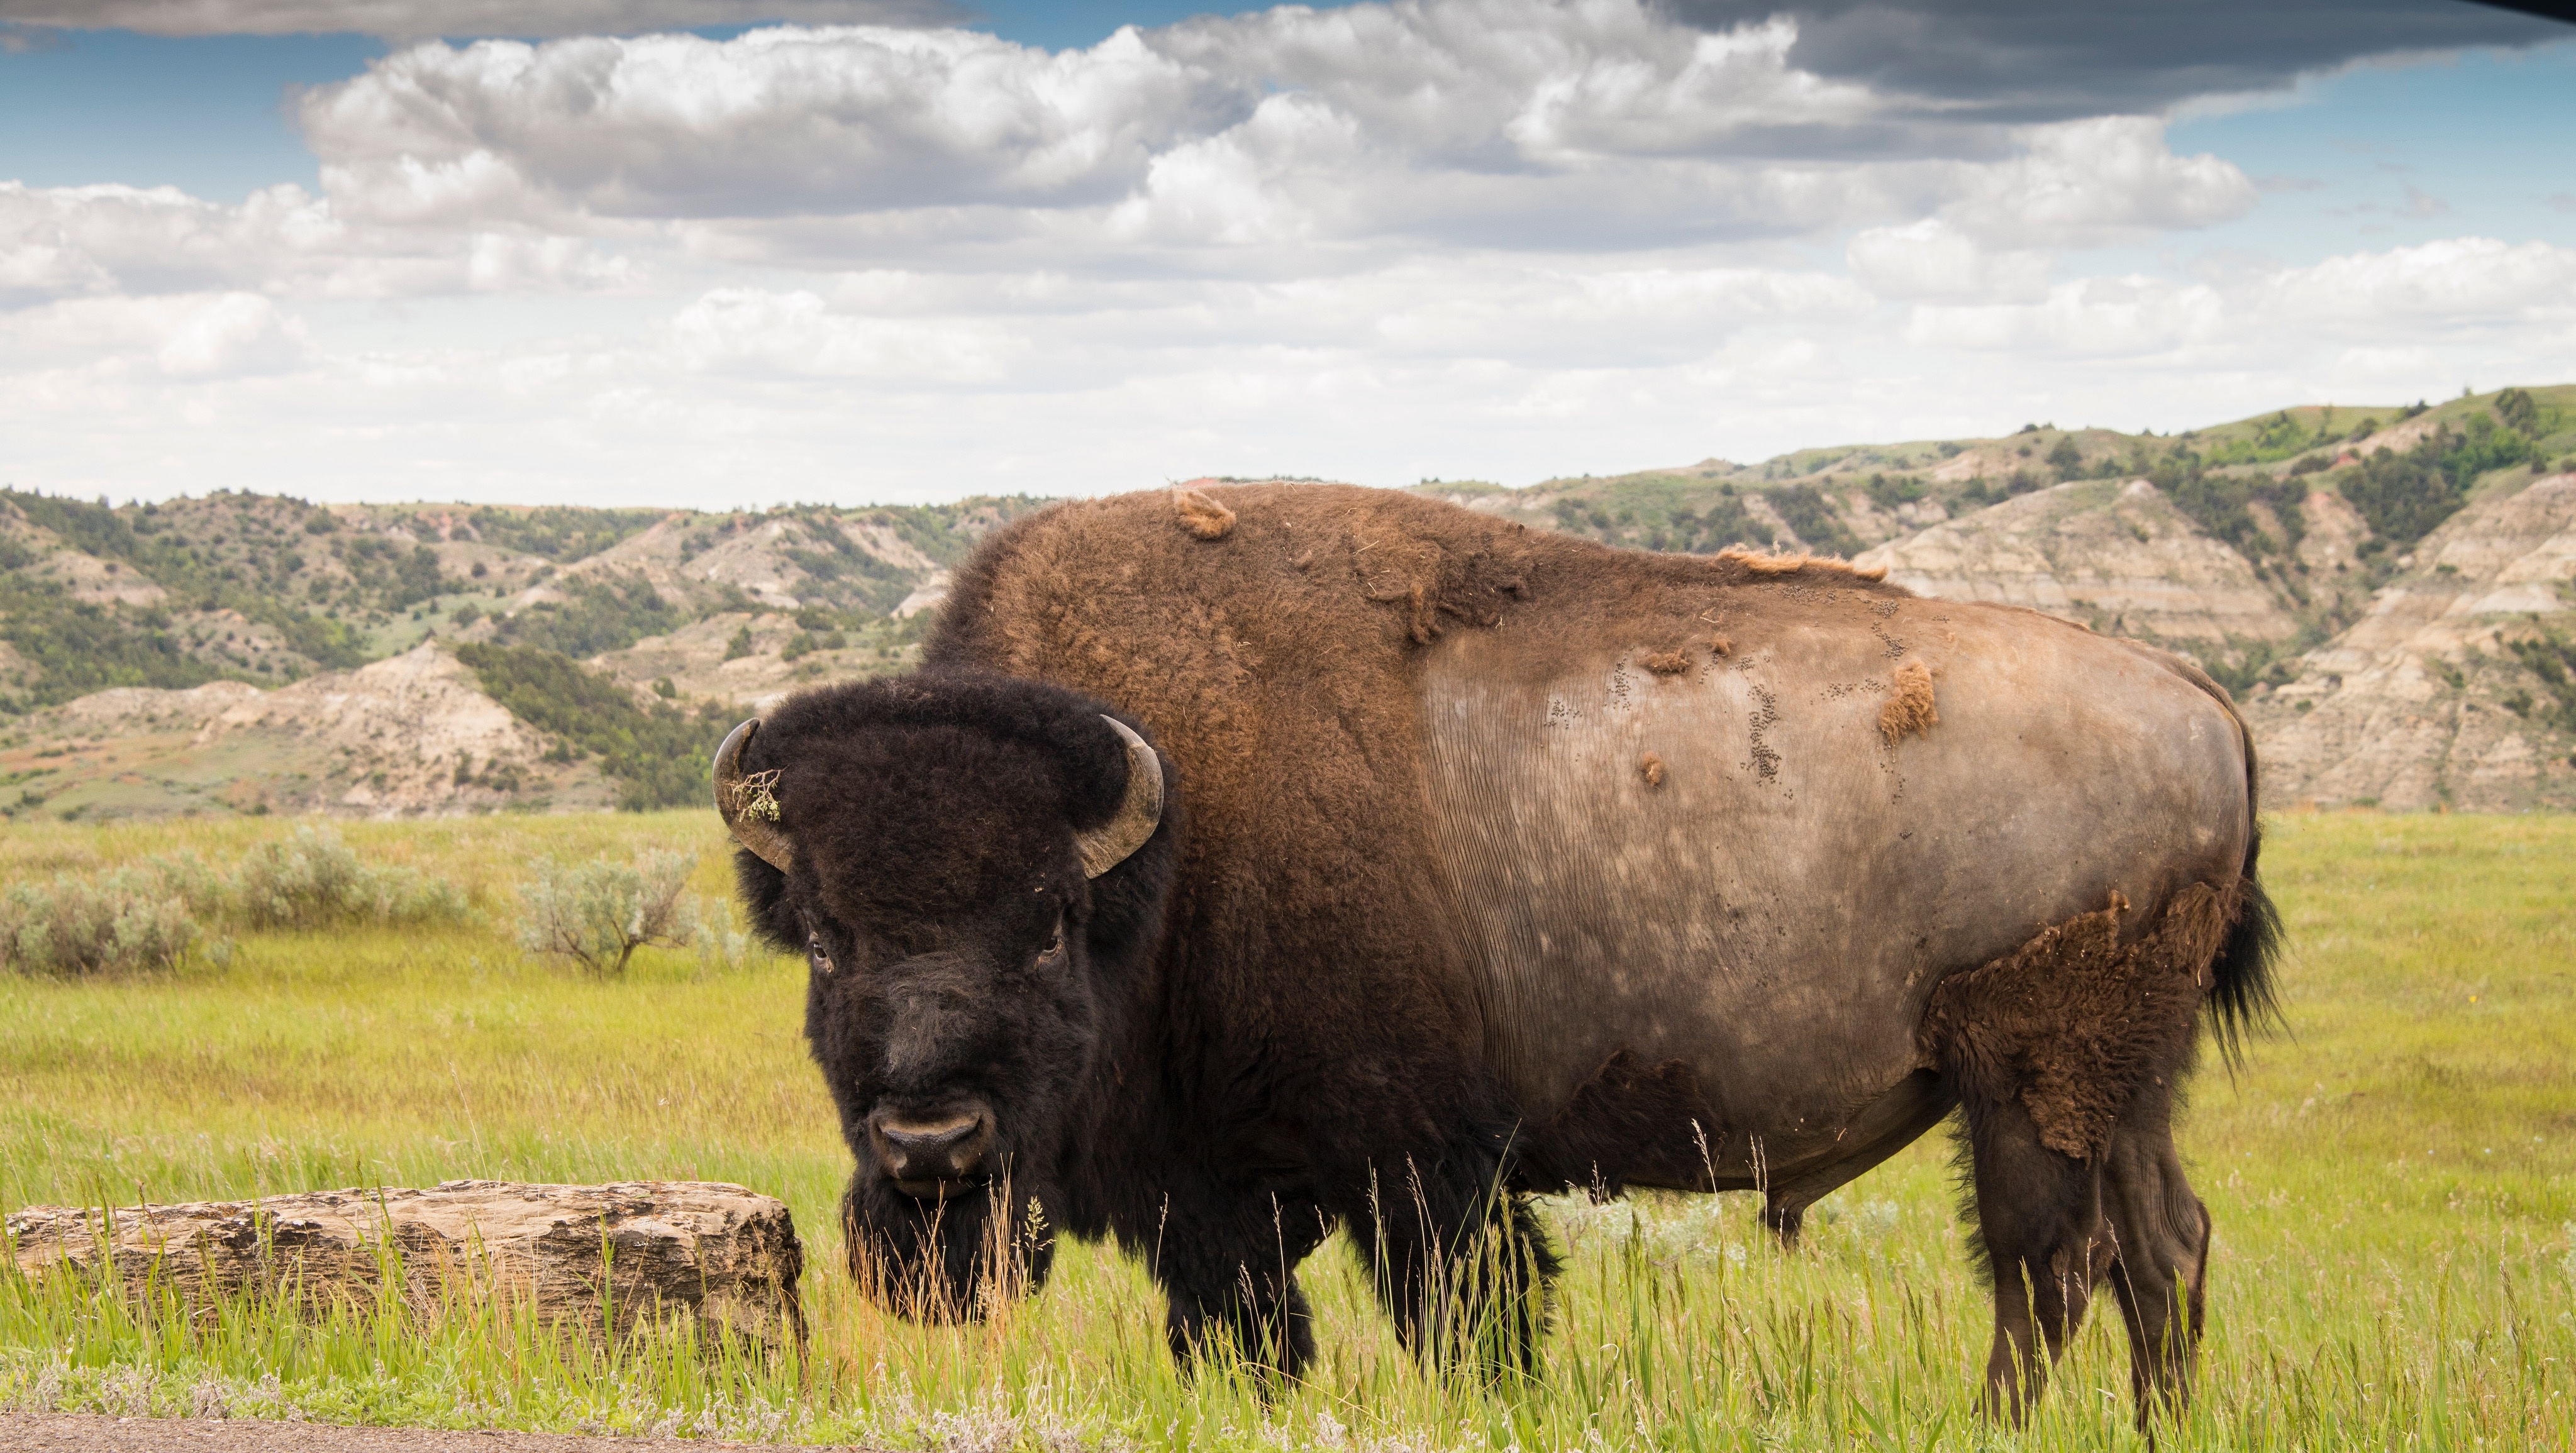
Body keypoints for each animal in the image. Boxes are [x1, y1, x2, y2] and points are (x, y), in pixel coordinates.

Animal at [721, 484, 2277, 1422]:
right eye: (823, 936)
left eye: (1048, 918)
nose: (928, 1144)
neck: (1170, 834)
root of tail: (2203, 699)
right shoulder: (1214, 1200)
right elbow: (1243, 1333)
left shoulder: (1421, 1165)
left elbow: (1464, 1323)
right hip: (2120, 1088)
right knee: (2162, 1248)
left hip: (2027, 1079)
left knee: (2046, 1267)